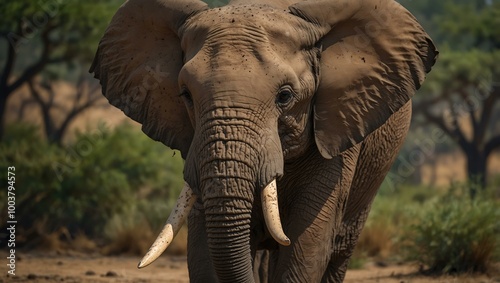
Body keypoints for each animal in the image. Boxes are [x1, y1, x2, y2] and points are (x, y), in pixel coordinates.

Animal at [90, 0, 438, 282]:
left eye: (285, 96)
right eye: (185, 95)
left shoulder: (338, 132)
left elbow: (307, 248)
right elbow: (204, 251)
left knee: (339, 250)